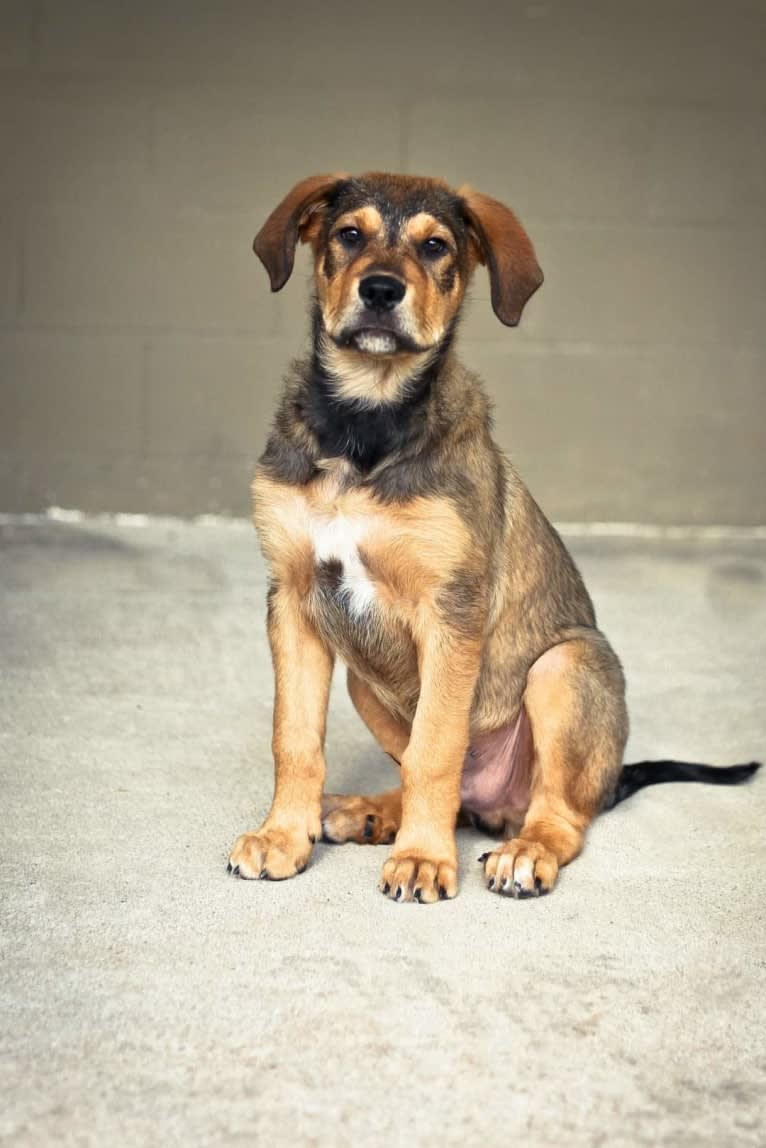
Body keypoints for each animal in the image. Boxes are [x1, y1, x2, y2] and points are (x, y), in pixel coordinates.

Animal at [226, 172, 753, 904]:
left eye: (435, 247)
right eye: (350, 235)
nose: (381, 290)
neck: (368, 423)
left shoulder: (451, 610)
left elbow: (436, 746)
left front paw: (423, 860)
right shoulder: (294, 600)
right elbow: (295, 737)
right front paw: (282, 837)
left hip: (567, 667)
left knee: (558, 817)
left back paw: (522, 852)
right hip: (363, 677)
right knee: (450, 795)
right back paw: (374, 813)